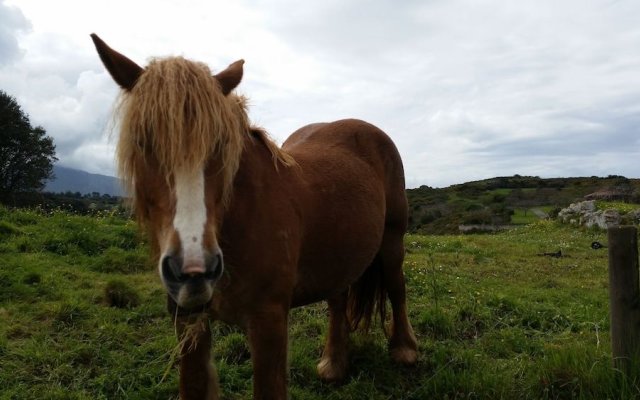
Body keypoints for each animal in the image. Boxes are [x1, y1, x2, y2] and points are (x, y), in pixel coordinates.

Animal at [91, 34, 420, 400]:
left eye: (221, 145)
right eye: (141, 141)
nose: (194, 269)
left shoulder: (269, 322)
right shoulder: (187, 319)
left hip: (392, 240)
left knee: (396, 286)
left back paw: (405, 350)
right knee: (338, 298)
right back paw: (334, 364)